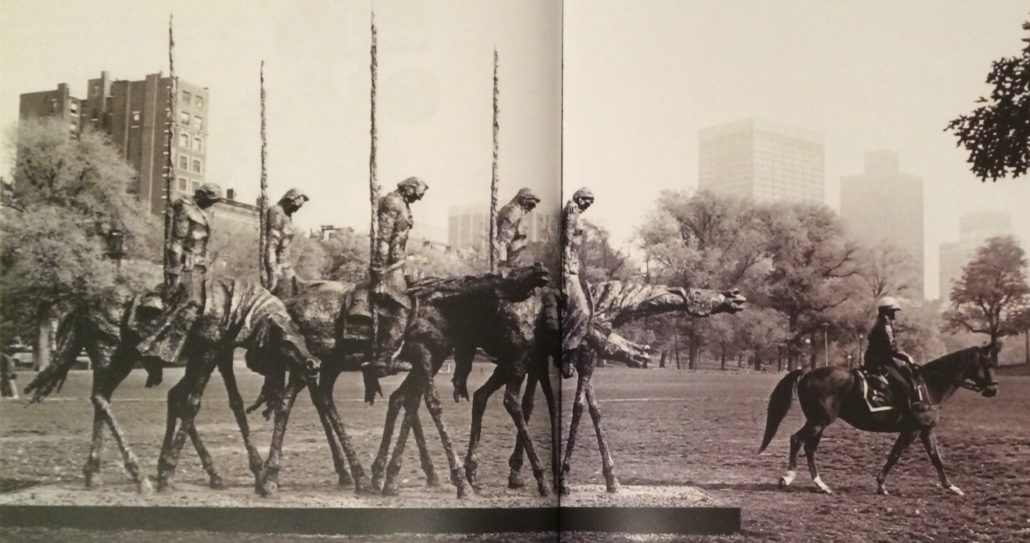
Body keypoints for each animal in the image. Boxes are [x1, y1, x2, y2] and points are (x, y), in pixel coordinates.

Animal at [762, 346, 992, 494]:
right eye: (987, 364)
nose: (994, 389)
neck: (929, 385)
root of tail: (809, 373)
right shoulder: (911, 430)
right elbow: (895, 455)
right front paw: (881, 484)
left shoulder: (925, 430)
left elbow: (936, 459)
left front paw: (950, 486)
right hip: (818, 422)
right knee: (797, 440)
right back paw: (788, 476)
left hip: (819, 423)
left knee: (810, 448)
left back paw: (821, 484)